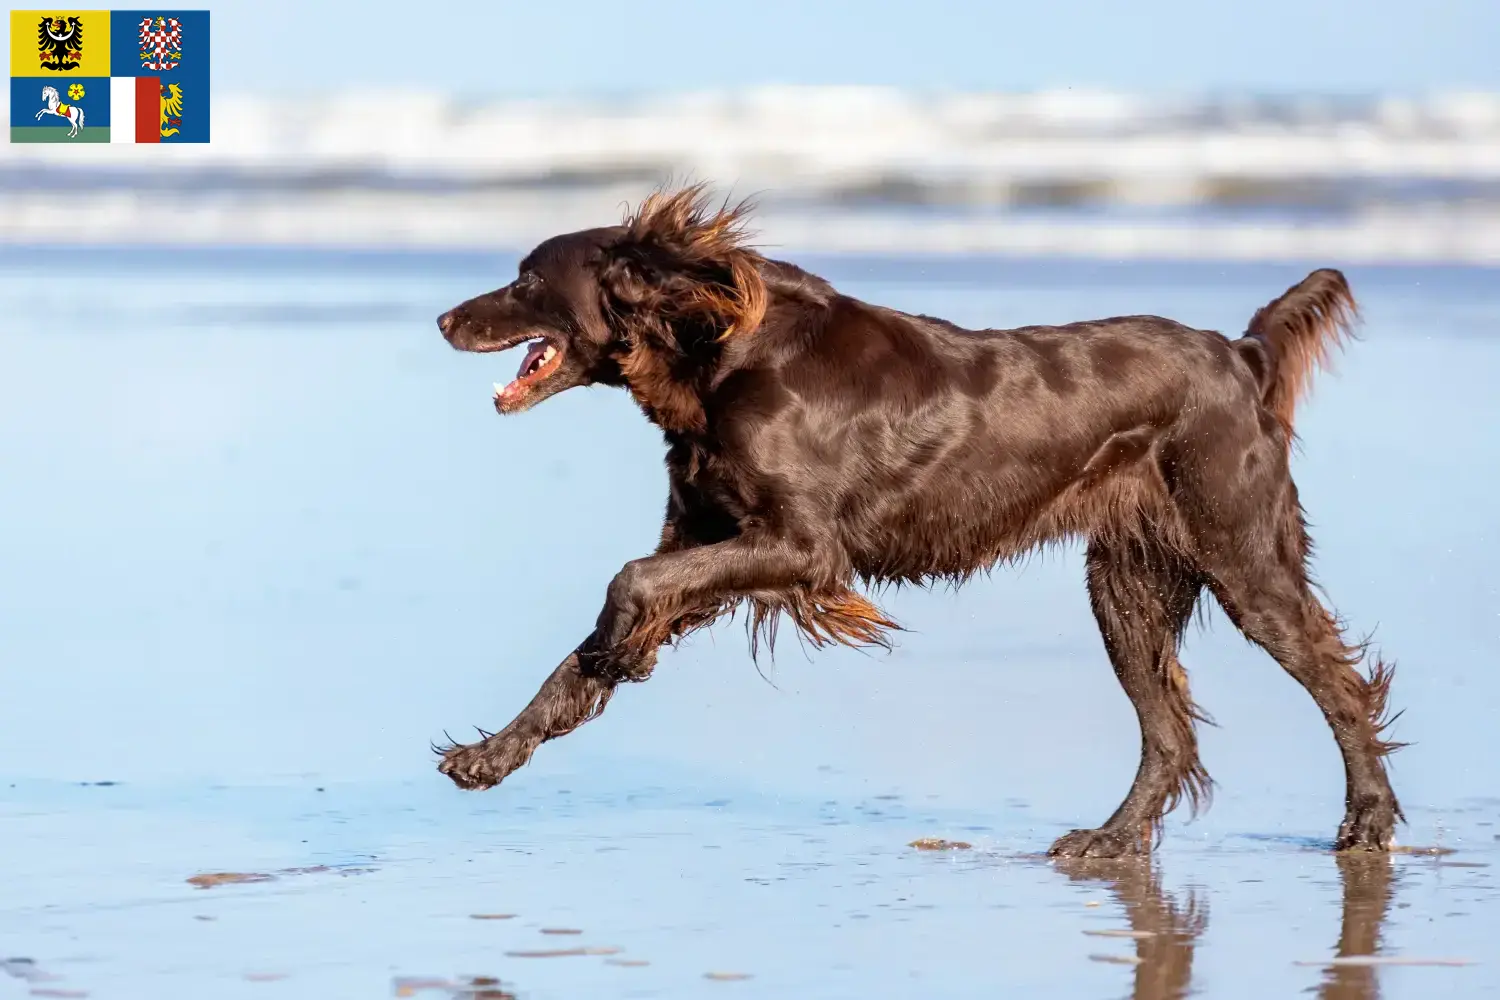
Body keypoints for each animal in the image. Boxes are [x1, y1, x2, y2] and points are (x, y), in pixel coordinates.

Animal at [429, 183, 1398, 857]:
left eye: (526, 279)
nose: (443, 317)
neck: (723, 352)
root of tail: (1240, 355)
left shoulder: (800, 546)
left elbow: (629, 581)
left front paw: (616, 648)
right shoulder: (710, 538)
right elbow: (601, 631)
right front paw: (495, 752)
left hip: (1241, 553)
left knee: (1338, 685)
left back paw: (1369, 821)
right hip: (1124, 586)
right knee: (1168, 733)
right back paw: (1112, 841)